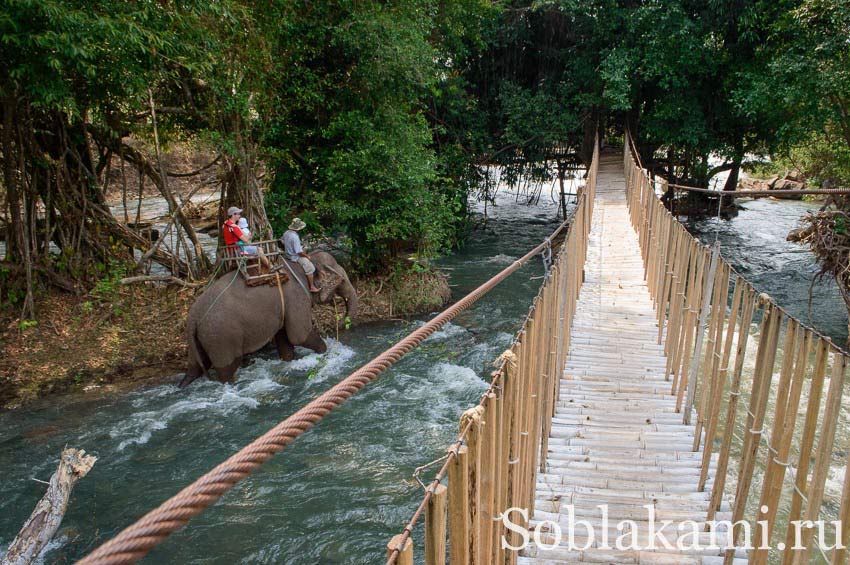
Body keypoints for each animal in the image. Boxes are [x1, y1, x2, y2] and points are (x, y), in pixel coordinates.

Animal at [179, 251, 354, 388]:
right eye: (342, 280)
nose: (340, 322)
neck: (304, 261)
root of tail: (193, 319)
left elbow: (284, 339)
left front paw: (288, 361)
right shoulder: (296, 297)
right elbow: (299, 335)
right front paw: (325, 352)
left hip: (200, 339)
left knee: (195, 367)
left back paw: (182, 385)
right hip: (221, 338)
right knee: (227, 370)